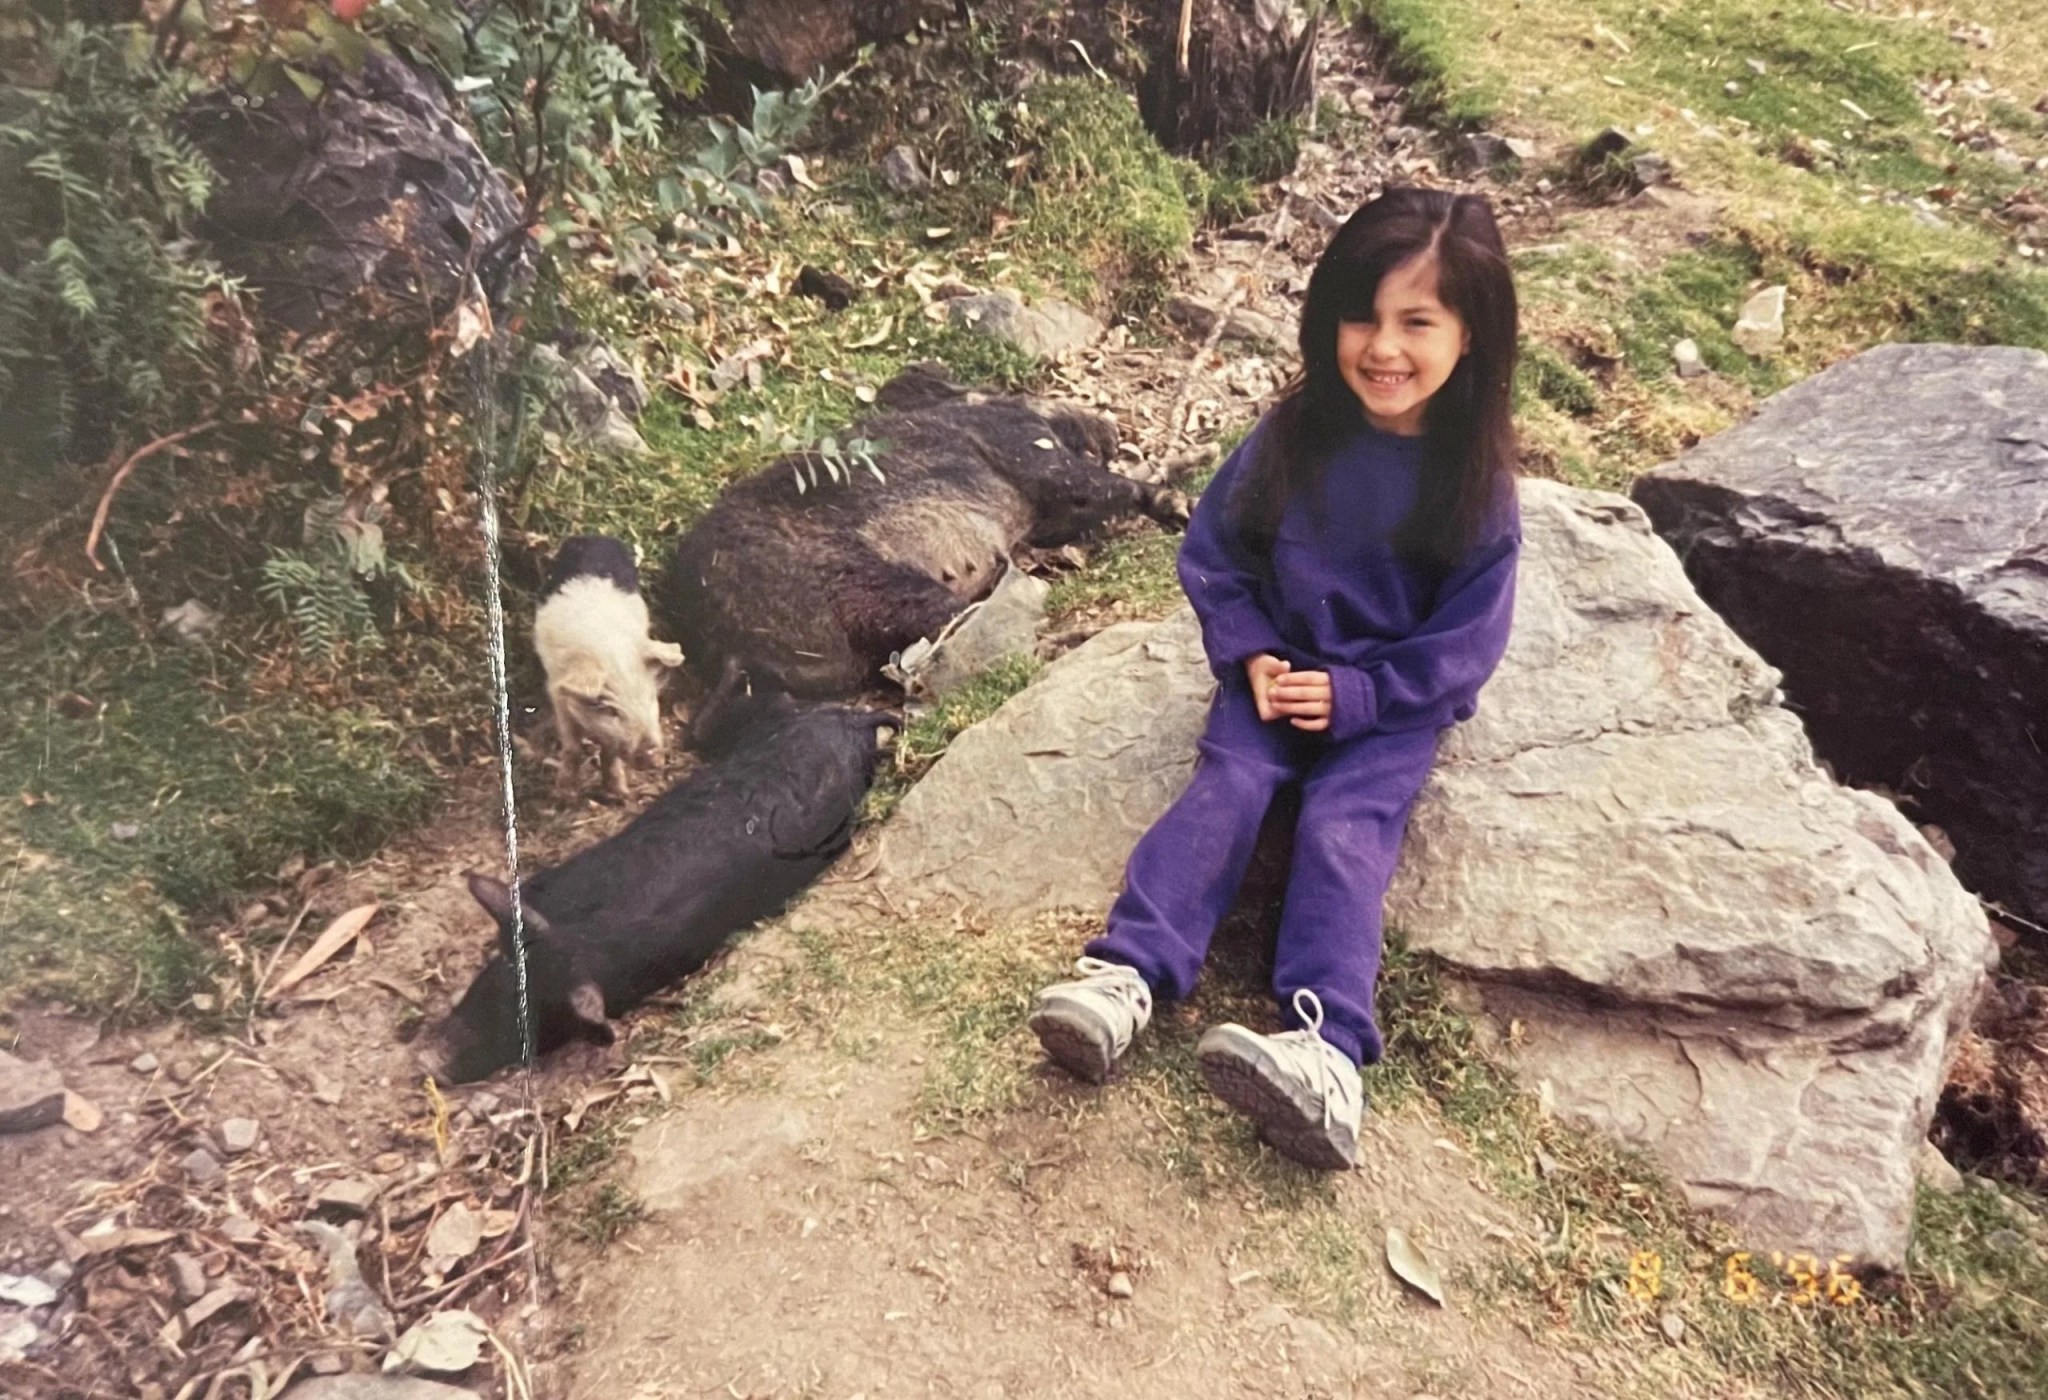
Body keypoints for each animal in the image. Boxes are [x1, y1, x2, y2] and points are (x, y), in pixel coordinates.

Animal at [647, 364, 1179, 745]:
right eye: (1022, 394)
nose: (1109, 429)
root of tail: (720, 639)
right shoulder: (1032, 458)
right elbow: (1107, 485)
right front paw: (1177, 502)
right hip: (876, 588)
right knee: (978, 641)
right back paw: (1079, 636)